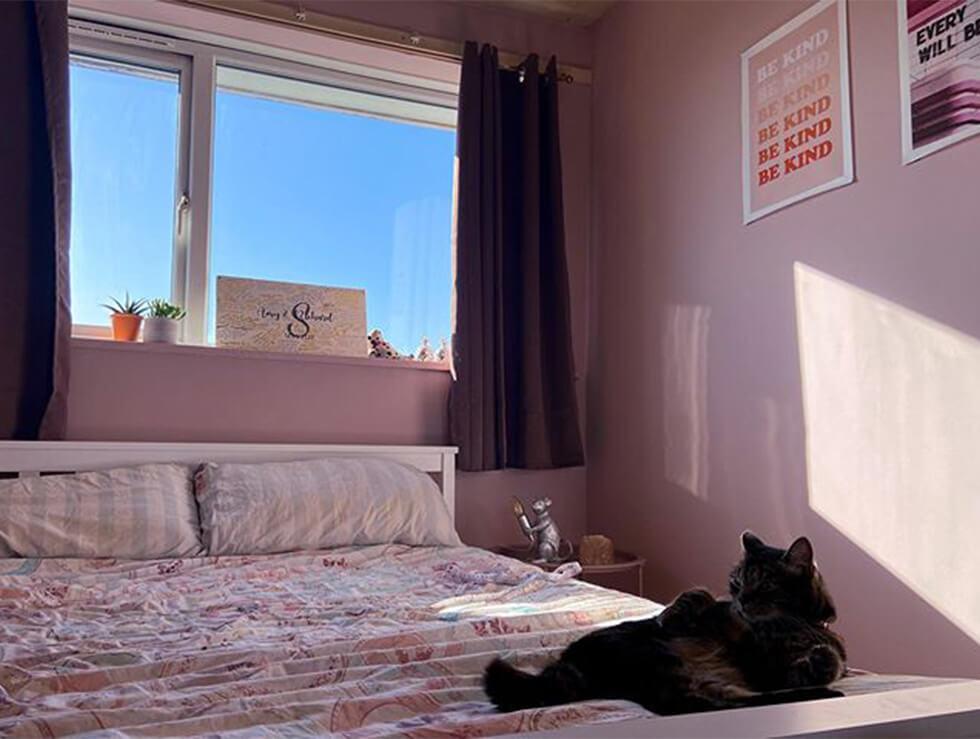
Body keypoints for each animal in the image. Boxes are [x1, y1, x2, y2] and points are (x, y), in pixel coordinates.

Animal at [482, 532, 844, 716]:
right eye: (737, 582)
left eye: (766, 585)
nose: (741, 601)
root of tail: (571, 664)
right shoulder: (764, 664)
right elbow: (696, 596)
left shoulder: (777, 667)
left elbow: (825, 660)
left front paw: (823, 658)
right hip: (664, 659)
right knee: (684, 706)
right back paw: (820, 695)